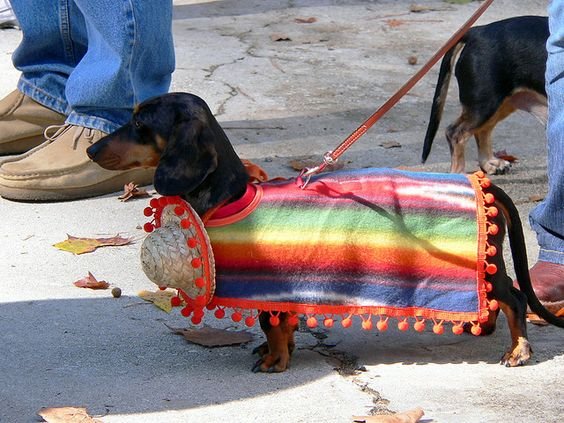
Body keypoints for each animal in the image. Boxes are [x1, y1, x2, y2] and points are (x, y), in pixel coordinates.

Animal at [86, 92, 560, 372]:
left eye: (140, 124)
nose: (90, 149)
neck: (231, 195)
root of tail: (486, 184)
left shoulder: (270, 289)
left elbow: (272, 324)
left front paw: (275, 360)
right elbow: (284, 324)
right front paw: (280, 351)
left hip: (489, 266)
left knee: (516, 300)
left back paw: (518, 350)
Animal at [420, 14, 548, 174]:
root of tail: (477, 32)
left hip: (501, 103)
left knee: (483, 130)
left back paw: (489, 163)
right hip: (484, 105)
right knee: (455, 133)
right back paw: (459, 175)